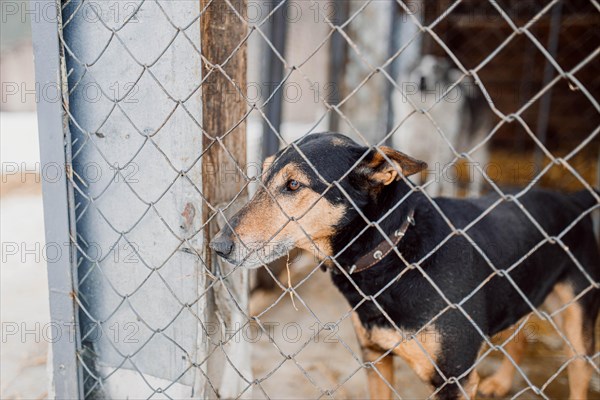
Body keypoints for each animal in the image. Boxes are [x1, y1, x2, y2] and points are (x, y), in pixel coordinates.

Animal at [209, 133, 596, 398]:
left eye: (292, 184)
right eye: (262, 176)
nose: (217, 246)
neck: (394, 255)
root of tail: (572, 197)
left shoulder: (453, 380)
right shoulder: (376, 359)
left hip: (578, 320)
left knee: (579, 372)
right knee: (517, 339)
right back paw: (500, 382)